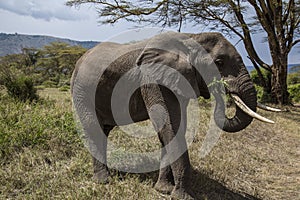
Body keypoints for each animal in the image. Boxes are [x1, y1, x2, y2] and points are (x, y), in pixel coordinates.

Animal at [70, 32, 276, 199]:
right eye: (219, 62)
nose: (220, 88)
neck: (192, 37)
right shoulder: (153, 80)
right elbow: (168, 126)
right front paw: (182, 196)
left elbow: (173, 129)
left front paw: (163, 190)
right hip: (82, 91)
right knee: (93, 128)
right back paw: (103, 180)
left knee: (103, 130)